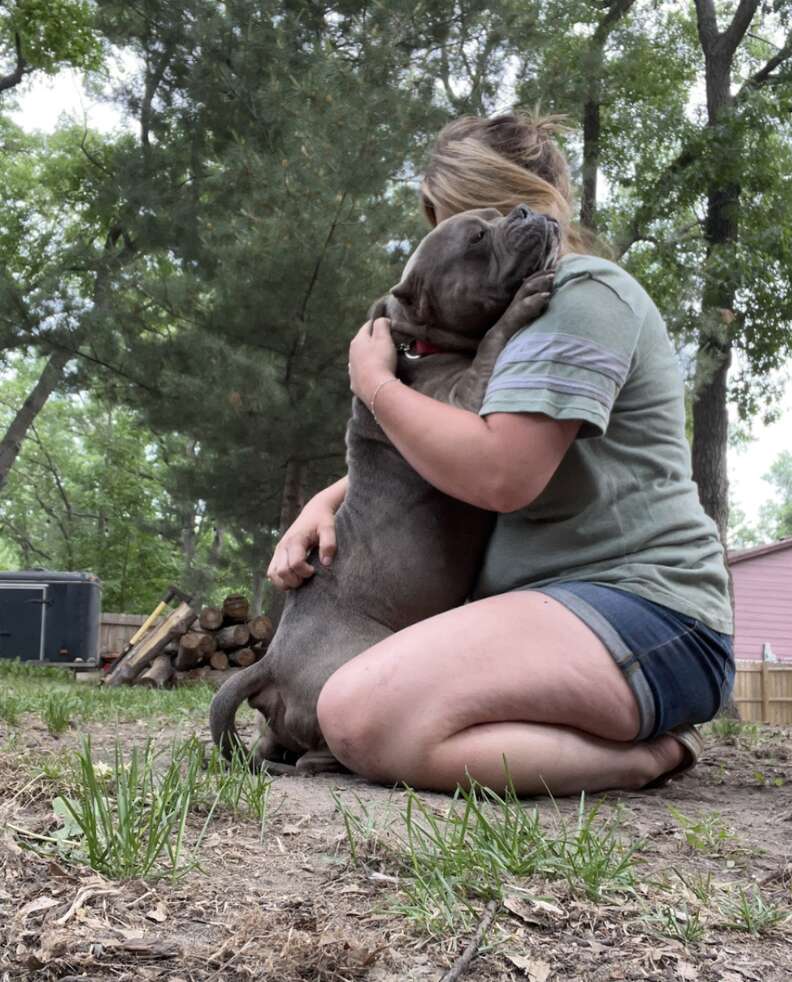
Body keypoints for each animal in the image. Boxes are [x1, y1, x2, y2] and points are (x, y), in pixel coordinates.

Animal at [209, 206, 556, 776]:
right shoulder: (460, 409)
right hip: (360, 665)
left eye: (498, 215)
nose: (526, 209)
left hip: (275, 719)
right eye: (476, 238)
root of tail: (270, 662)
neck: (421, 342)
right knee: (318, 752)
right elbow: (491, 344)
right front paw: (522, 304)